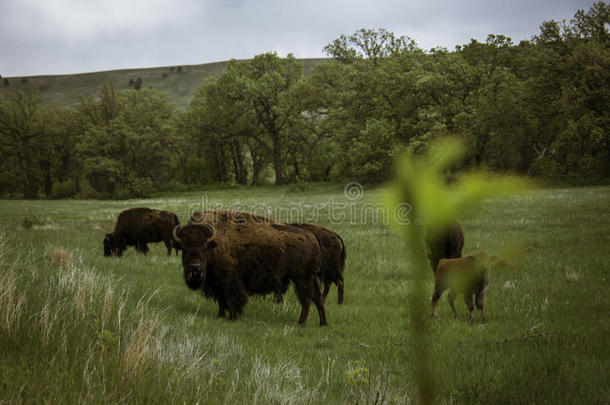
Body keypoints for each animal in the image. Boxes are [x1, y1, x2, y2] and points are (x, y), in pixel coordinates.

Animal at [172, 211, 328, 326]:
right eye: (184, 248)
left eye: (204, 247)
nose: (195, 267)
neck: (215, 243)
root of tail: (310, 236)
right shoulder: (217, 284)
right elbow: (222, 301)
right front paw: (220, 316)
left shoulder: (231, 282)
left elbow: (234, 299)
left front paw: (233, 317)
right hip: (310, 279)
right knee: (317, 298)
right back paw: (322, 323)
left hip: (302, 279)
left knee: (306, 299)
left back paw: (301, 323)